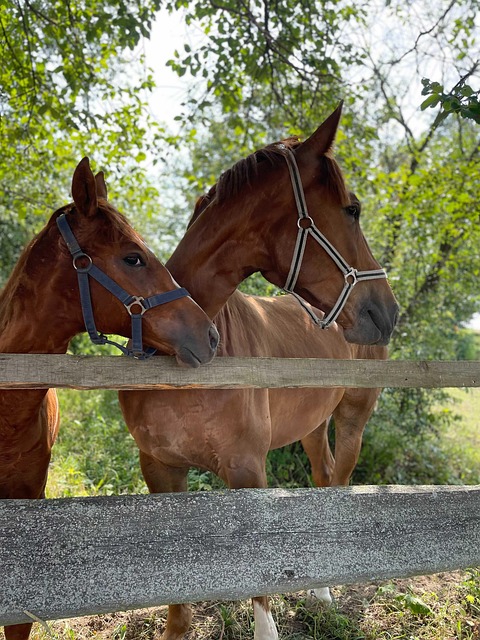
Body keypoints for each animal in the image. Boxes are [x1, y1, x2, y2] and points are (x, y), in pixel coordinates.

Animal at [119, 105, 399, 640]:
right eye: (352, 209)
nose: (388, 311)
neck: (194, 359)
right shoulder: (160, 469)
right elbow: (177, 601)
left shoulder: (248, 470)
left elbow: (259, 580)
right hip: (313, 426)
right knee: (323, 474)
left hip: (354, 418)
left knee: (337, 484)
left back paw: (324, 592)